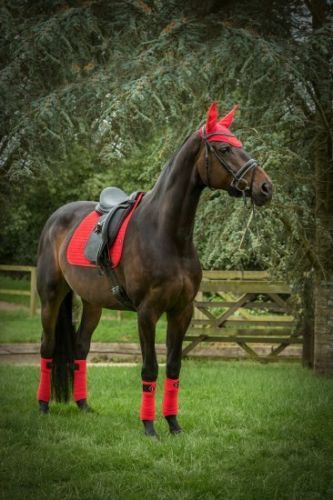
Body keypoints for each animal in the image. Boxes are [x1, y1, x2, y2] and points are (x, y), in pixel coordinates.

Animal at [36, 103, 272, 436]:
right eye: (225, 148)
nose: (266, 187)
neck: (167, 234)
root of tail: (57, 217)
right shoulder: (147, 312)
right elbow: (149, 368)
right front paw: (149, 428)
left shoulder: (182, 311)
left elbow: (173, 367)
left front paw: (174, 425)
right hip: (51, 297)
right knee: (47, 347)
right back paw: (43, 407)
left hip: (93, 304)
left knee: (81, 348)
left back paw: (84, 406)